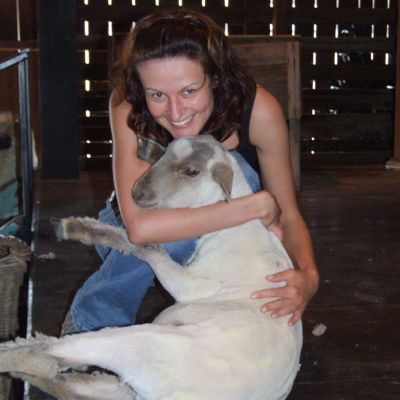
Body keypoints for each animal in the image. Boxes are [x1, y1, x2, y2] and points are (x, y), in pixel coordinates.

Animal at [0, 134, 302, 400]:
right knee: (66, 382)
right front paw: (79, 228)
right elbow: (139, 243)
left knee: (49, 355)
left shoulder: (194, 286)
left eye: (191, 171)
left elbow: (148, 249)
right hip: (122, 385)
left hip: (142, 345)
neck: (238, 227)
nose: (135, 193)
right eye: (164, 152)